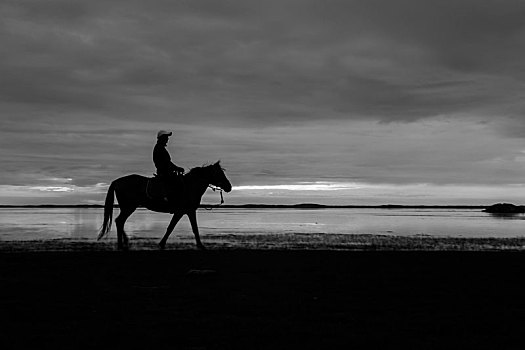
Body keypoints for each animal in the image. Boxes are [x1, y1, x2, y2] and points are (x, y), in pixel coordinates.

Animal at [96, 160, 231, 250]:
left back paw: (125, 242)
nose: (229, 187)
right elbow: (180, 228)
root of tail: (117, 181)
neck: (190, 186)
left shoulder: (186, 212)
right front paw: (200, 245)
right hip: (128, 207)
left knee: (120, 221)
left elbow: (179, 227)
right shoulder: (185, 211)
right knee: (119, 221)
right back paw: (120, 244)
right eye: (219, 173)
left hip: (128, 208)